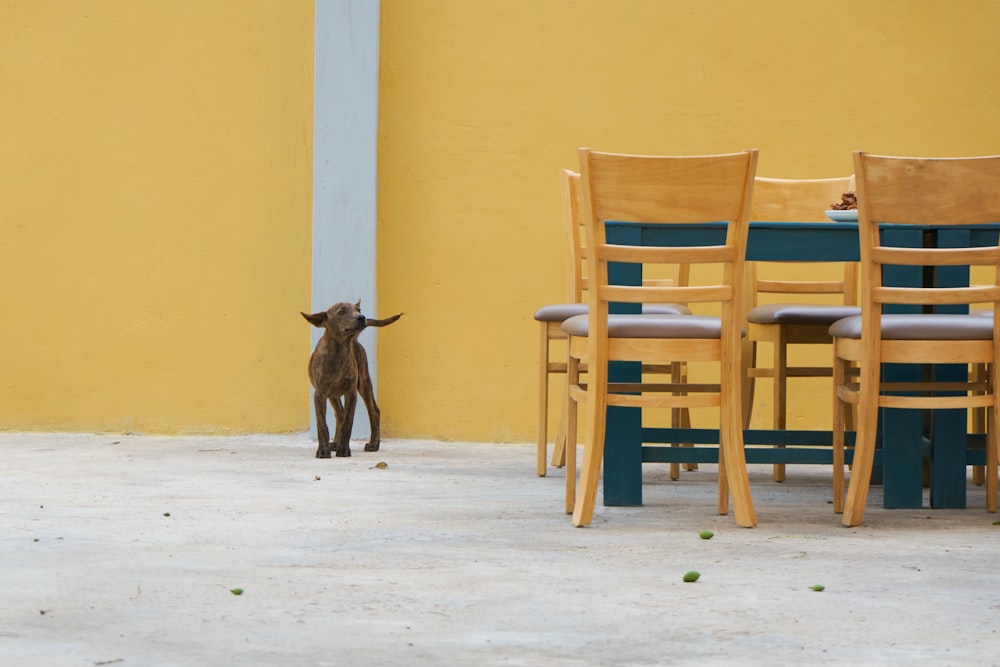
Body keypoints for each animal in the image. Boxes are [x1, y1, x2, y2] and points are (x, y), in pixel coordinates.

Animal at [300, 302, 402, 460]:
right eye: (341, 312)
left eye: (358, 310)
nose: (362, 317)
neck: (339, 351)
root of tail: (355, 340)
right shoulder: (320, 394)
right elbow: (322, 424)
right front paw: (323, 450)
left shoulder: (351, 393)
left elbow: (348, 423)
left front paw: (343, 449)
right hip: (333, 395)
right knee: (339, 415)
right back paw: (335, 443)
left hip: (364, 383)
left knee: (373, 411)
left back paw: (373, 444)